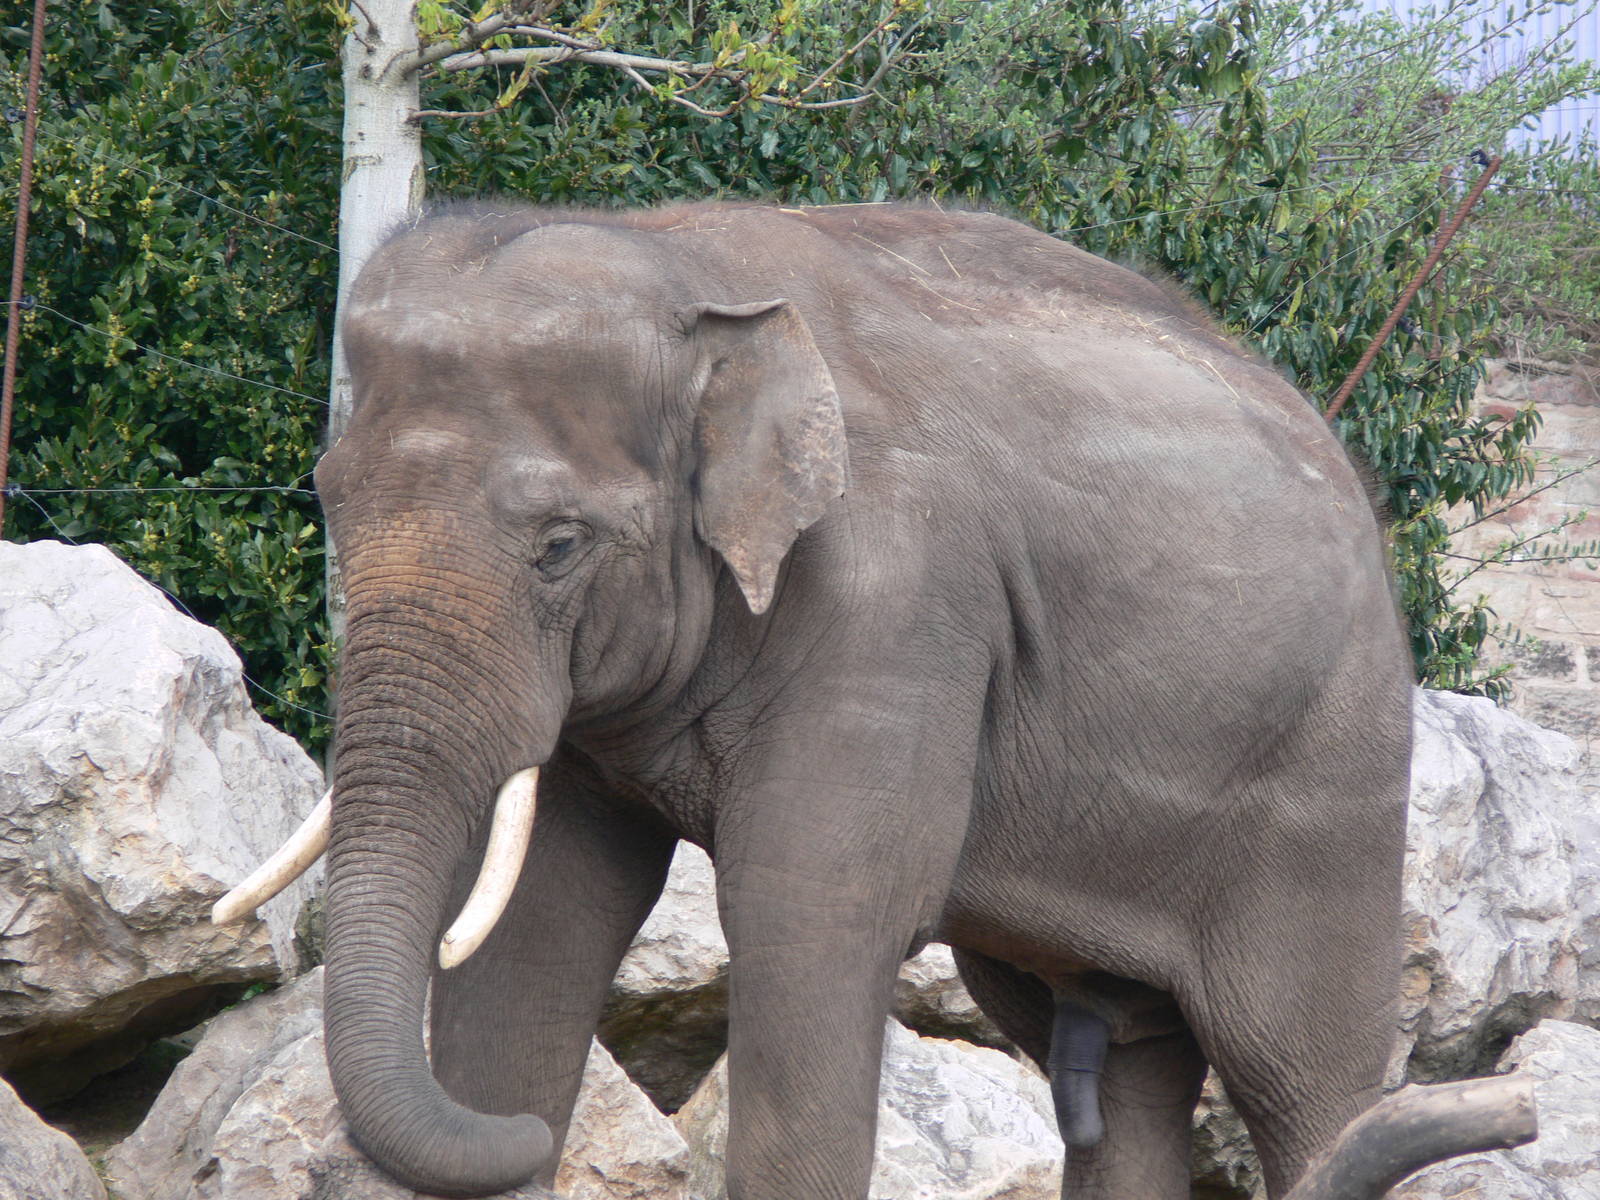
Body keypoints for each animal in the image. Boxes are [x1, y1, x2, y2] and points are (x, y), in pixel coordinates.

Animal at [222, 201, 1412, 1199]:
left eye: (560, 546)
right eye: (330, 498)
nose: (522, 1145)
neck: (689, 272)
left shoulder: (897, 608)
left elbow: (808, 916)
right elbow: (541, 917)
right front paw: (509, 1111)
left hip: (1333, 774)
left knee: (1300, 1071)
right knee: (1123, 1059)